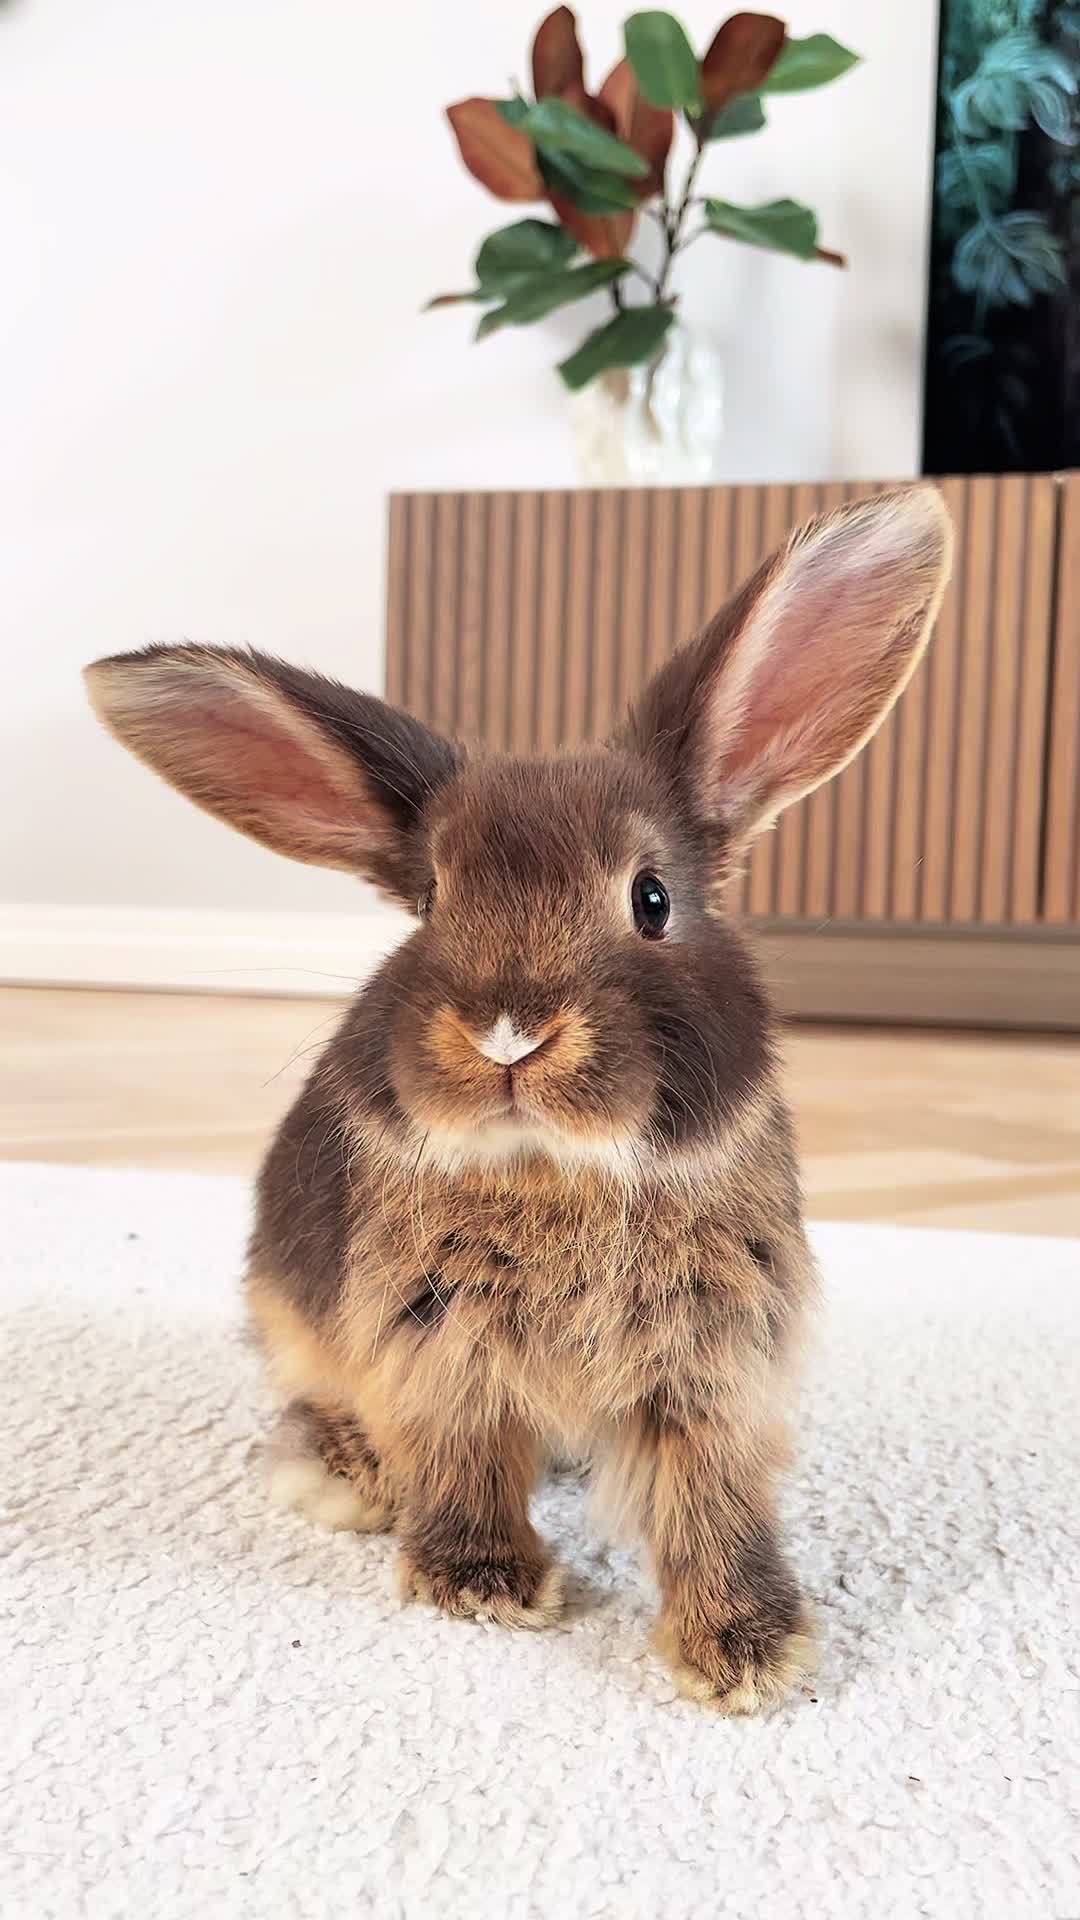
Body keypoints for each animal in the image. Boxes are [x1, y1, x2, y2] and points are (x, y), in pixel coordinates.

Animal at [85, 484, 951, 1712]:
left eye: (653, 899)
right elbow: (463, 1457)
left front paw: (747, 1651)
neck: (556, 1169)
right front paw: (482, 1583)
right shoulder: (437, 1342)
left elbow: (711, 1496)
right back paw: (349, 1477)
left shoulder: (715, 1360)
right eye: (432, 902)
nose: (508, 1033)